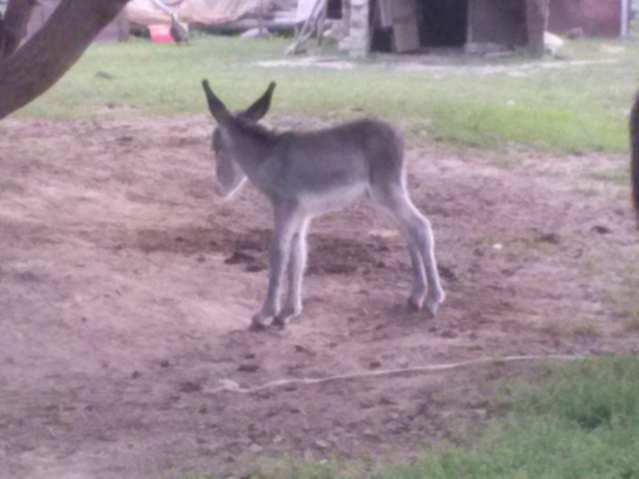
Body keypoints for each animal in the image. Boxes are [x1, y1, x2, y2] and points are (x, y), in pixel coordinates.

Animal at [204, 80, 444, 332]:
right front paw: (288, 313)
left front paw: (265, 314)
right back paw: (416, 297)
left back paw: (432, 300)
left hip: (387, 191)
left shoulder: (285, 209)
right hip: (384, 197)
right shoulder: (299, 215)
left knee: (420, 226)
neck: (267, 158)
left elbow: (278, 253)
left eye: (216, 148)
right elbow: (298, 256)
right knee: (408, 230)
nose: (218, 189)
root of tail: (397, 134)